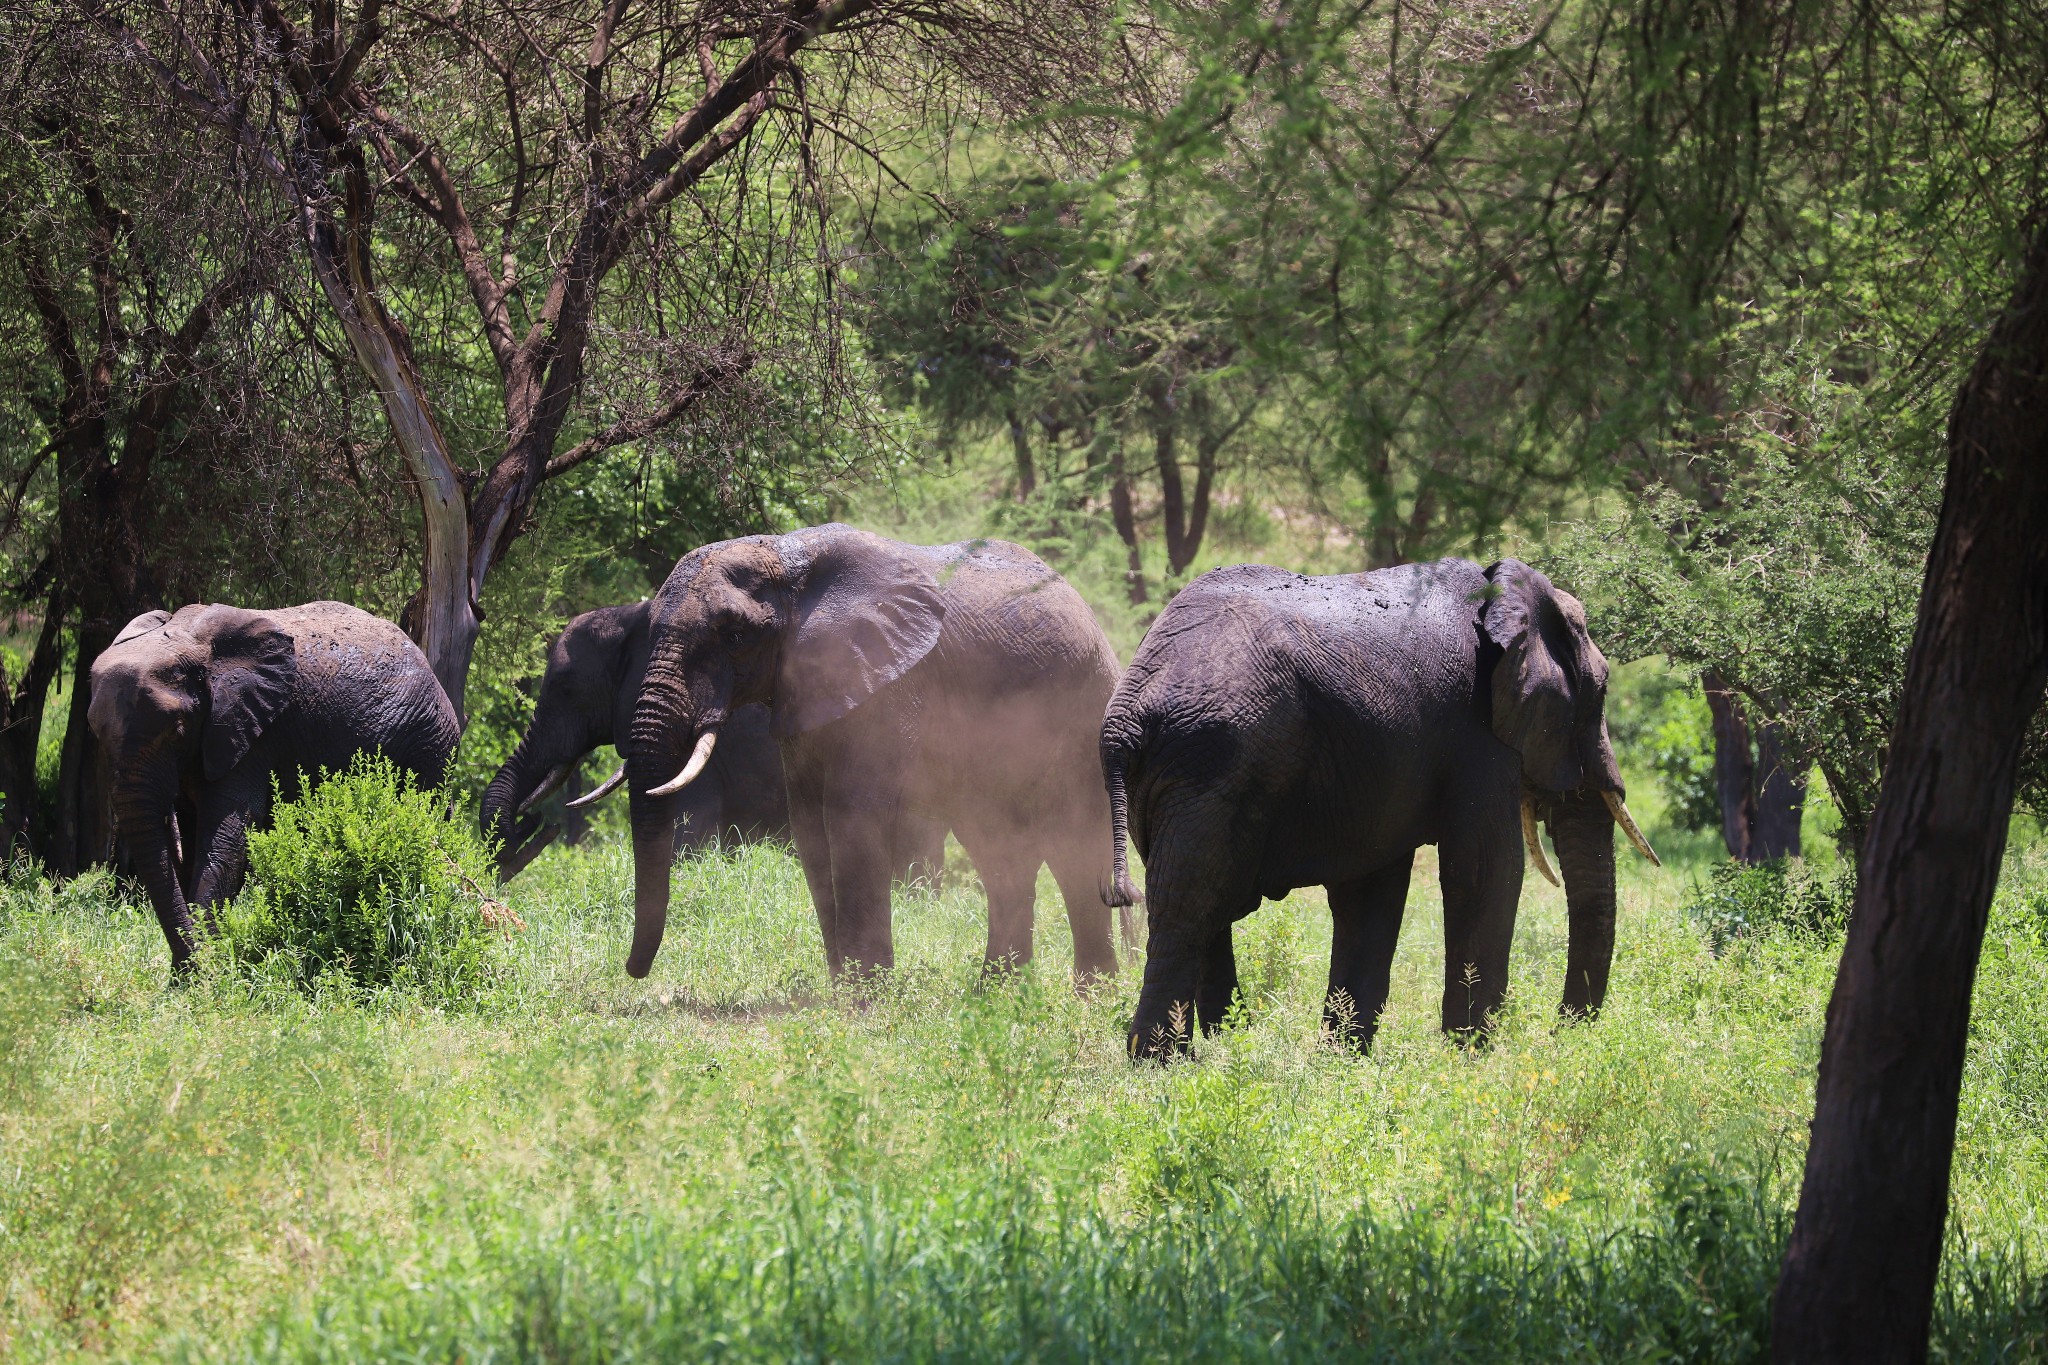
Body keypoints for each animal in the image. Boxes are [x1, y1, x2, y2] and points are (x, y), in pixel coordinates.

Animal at [87, 601, 460, 978]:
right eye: (95, 733)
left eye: (177, 731)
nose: (188, 968)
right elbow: (196, 835)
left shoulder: (251, 733)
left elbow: (226, 834)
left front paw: (206, 971)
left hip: (429, 744)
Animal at [626, 519, 1122, 982]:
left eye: (733, 636)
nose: (634, 970)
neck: (788, 557)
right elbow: (809, 823)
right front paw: (845, 995)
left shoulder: (892, 686)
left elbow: (852, 815)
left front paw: (868, 998)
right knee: (1001, 852)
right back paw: (996, 995)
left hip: (1085, 714)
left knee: (1073, 847)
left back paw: (1089, 997)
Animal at [1097, 556, 1654, 1055]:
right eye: (1602, 689)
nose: (1561, 1035)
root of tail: (1125, 720)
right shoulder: (1477, 735)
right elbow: (1485, 869)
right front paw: (1471, 1056)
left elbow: (1370, 891)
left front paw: (1343, 1059)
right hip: (1213, 762)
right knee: (1190, 905)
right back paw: (1164, 1063)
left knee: (1204, 907)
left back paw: (1227, 1046)